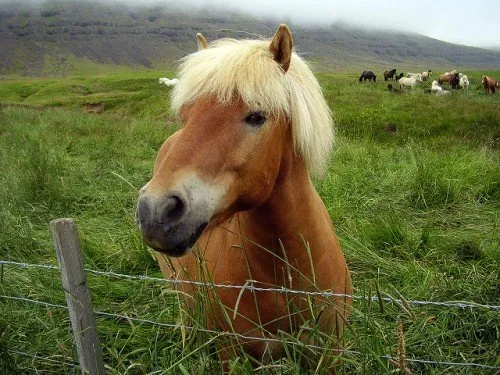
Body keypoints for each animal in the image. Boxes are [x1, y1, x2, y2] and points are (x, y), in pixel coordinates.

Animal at [137, 24, 352, 374]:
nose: (156, 210)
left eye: (256, 117)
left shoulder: (328, 355)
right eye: (186, 115)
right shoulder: (233, 353)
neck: (285, 279)